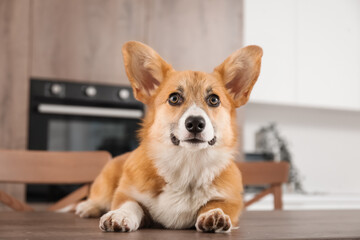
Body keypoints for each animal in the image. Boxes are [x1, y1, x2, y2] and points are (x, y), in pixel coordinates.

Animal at [75, 40, 262, 232]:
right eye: (174, 98)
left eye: (214, 100)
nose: (195, 123)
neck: (187, 165)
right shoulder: (125, 194)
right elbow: (130, 205)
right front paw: (119, 215)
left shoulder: (230, 199)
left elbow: (215, 204)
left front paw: (214, 215)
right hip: (106, 183)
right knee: (98, 199)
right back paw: (87, 207)